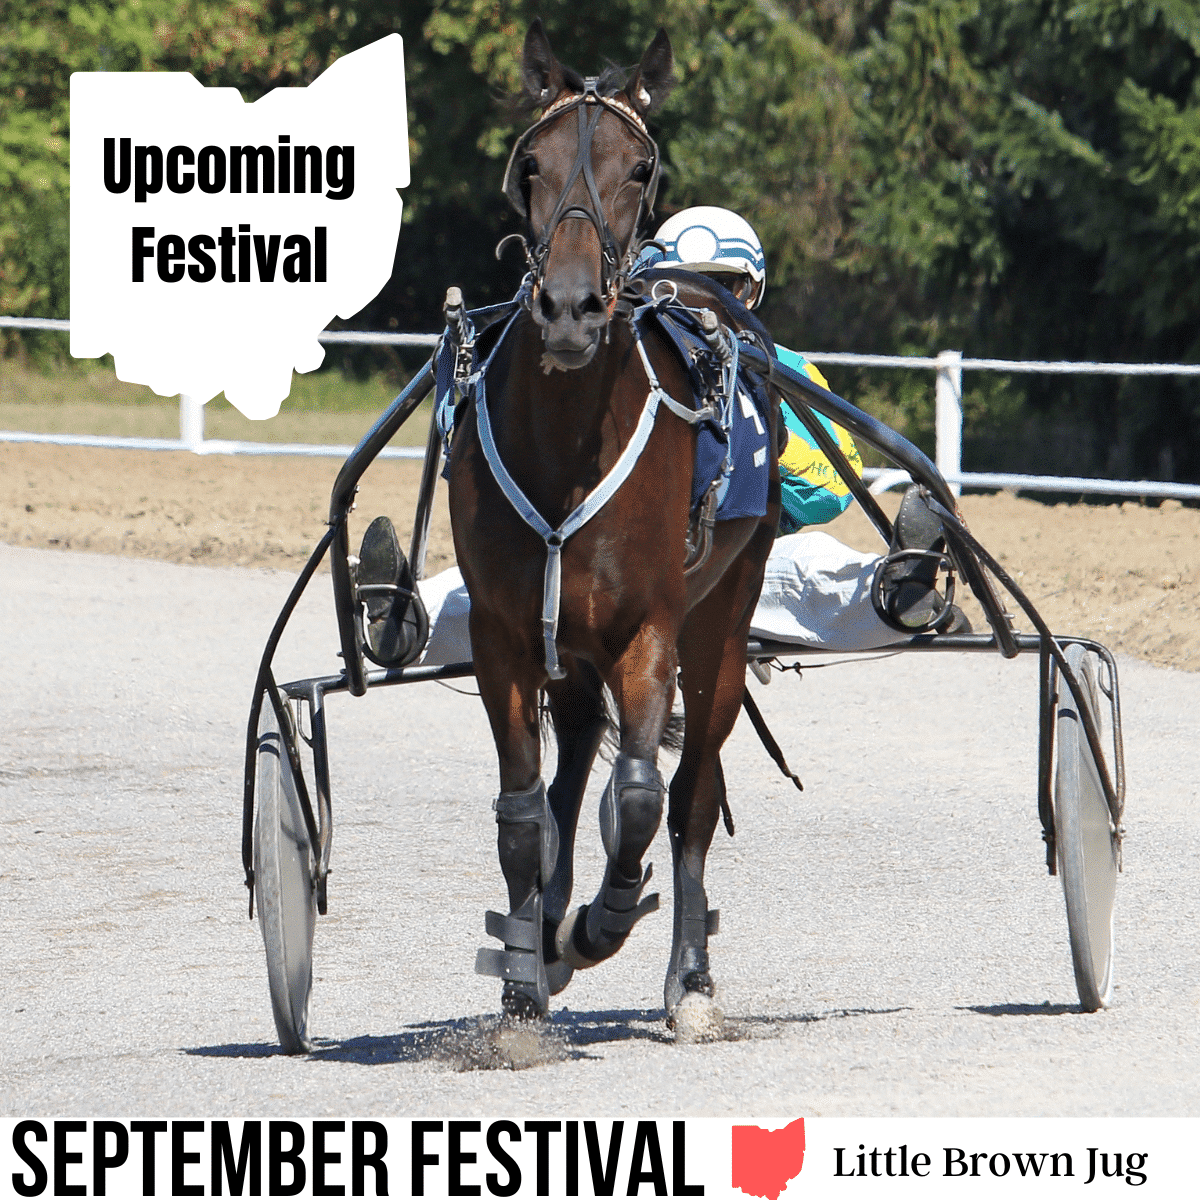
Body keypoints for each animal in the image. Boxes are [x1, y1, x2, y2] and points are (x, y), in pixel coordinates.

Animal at [448, 18, 777, 1032]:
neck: (565, 449)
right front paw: (526, 972)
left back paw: (689, 981)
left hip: (722, 620)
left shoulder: (650, 628)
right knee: (565, 777)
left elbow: (636, 798)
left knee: (691, 791)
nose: (566, 308)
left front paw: (601, 922)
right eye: (533, 164)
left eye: (639, 169)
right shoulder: (507, 631)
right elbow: (524, 810)